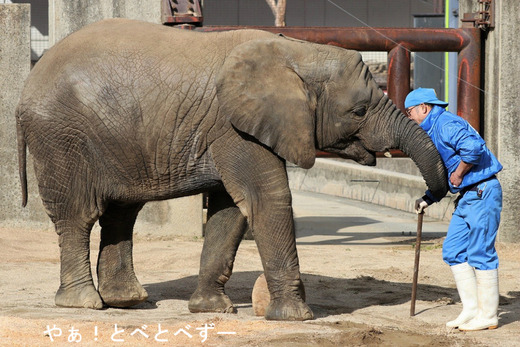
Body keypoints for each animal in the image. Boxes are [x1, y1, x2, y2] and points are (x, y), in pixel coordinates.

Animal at [16, 19, 446, 322]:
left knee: (122, 213)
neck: (295, 52)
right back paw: (84, 305)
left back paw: (130, 302)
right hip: (61, 138)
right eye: (358, 111)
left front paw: (212, 310)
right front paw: (295, 318)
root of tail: (27, 83)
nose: (425, 200)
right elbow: (266, 197)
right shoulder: (233, 127)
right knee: (79, 214)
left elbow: (231, 211)